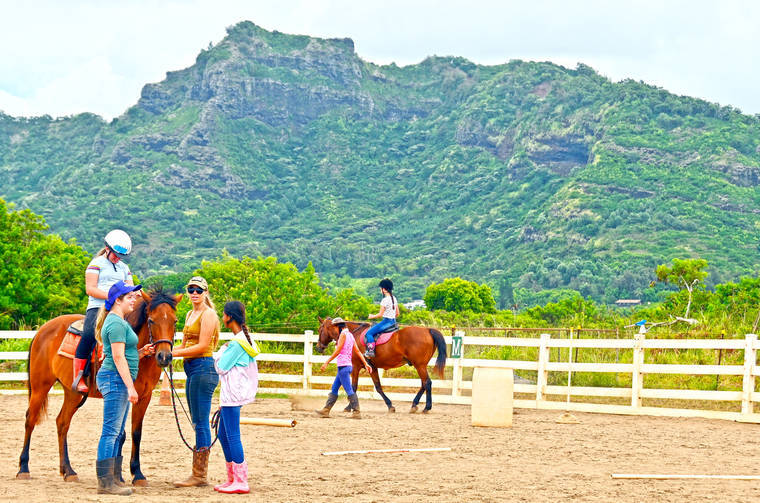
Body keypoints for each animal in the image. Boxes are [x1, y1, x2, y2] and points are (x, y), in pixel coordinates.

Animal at [17, 290, 180, 486]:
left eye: (175, 321)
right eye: (151, 320)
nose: (164, 357)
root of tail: (42, 330)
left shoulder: (144, 397)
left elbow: (135, 433)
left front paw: (137, 474)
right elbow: (120, 434)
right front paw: (119, 475)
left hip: (72, 393)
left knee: (62, 423)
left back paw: (68, 471)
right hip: (40, 386)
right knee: (30, 420)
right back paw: (24, 468)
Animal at [314, 318, 446, 414]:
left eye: (320, 330)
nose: (318, 347)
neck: (352, 334)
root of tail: (428, 330)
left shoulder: (355, 366)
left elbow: (354, 387)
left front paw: (349, 407)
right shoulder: (373, 368)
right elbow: (378, 387)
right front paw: (390, 406)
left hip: (420, 366)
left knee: (427, 383)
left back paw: (426, 407)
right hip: (420, 366)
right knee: (424, 384)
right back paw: (414, 404)